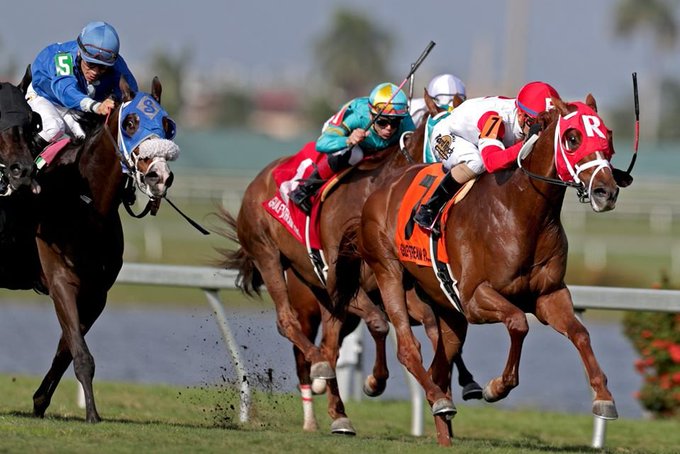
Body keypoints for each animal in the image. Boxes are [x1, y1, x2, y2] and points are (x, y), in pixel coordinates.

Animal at [0, 73, 178, 422]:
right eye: (131, 122)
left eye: (167, 124)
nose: (159, 175)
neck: (85, 205)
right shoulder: (60, 280)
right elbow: (80, 353)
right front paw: (92, 414)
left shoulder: (97, 293)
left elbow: (68, 349)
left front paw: (40, 402)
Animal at [216, 90, 482, 434]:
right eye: (445, 136)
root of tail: (257, 181)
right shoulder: (348, 280)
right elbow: (381, 324)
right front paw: (375, 381)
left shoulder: (390, 282)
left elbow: (429, 327)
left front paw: (456, 388)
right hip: (269, 255)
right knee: (291, 325)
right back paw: (318, 377)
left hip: (318, 287)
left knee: (330, 344)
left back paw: (338, 412)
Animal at [336, 94, 629, 445]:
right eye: (573, 138)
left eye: (607, 136)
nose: (606, 192)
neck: (520, 213)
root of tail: (380, 188)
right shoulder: (474, 298)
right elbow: (518, 323)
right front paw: (496, 387)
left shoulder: (549, 295)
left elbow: (581, 333)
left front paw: (604, 398)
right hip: (389, 271)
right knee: (408, 349)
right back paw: (433, 399)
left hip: (444, 308)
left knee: (439, 366)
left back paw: (444, 428)